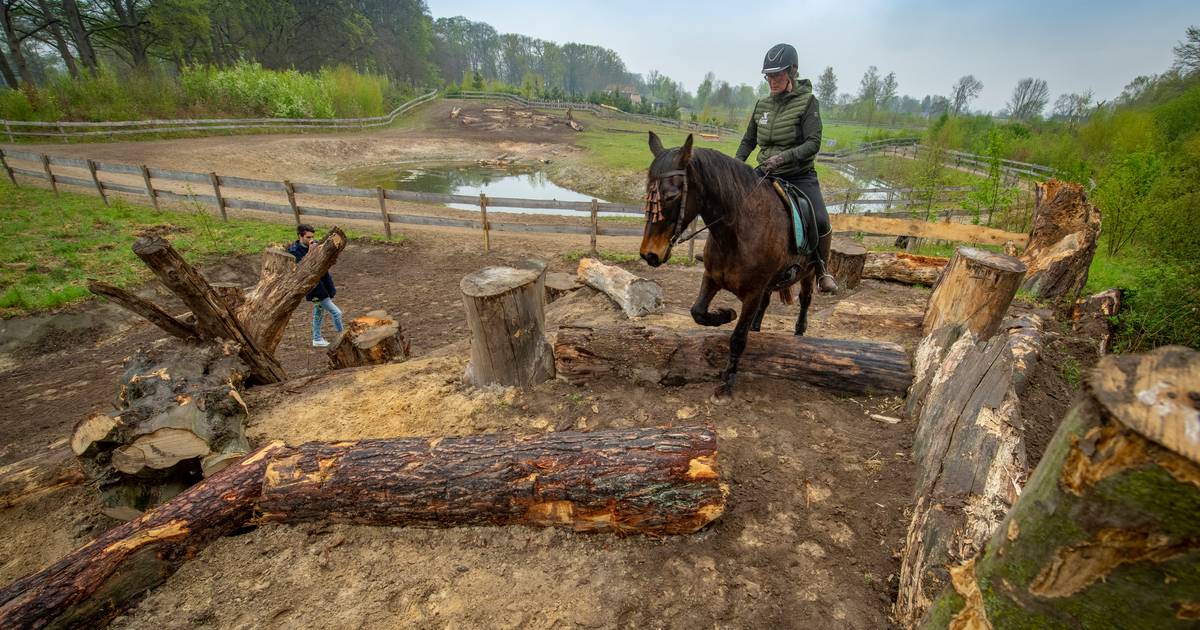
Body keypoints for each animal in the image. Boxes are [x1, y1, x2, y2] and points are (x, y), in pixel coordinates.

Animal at [639, 131, 817, 403]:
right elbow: (698, 312)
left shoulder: (753, 293)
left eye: (671, 195)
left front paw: (727, 382)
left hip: (809, 273)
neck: (736, 235)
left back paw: (799, 331)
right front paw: (725, 314)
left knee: (805, 299)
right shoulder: (712, 278)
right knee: (767, 302)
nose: (649, 254)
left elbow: (738, 338)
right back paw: (757, 326)